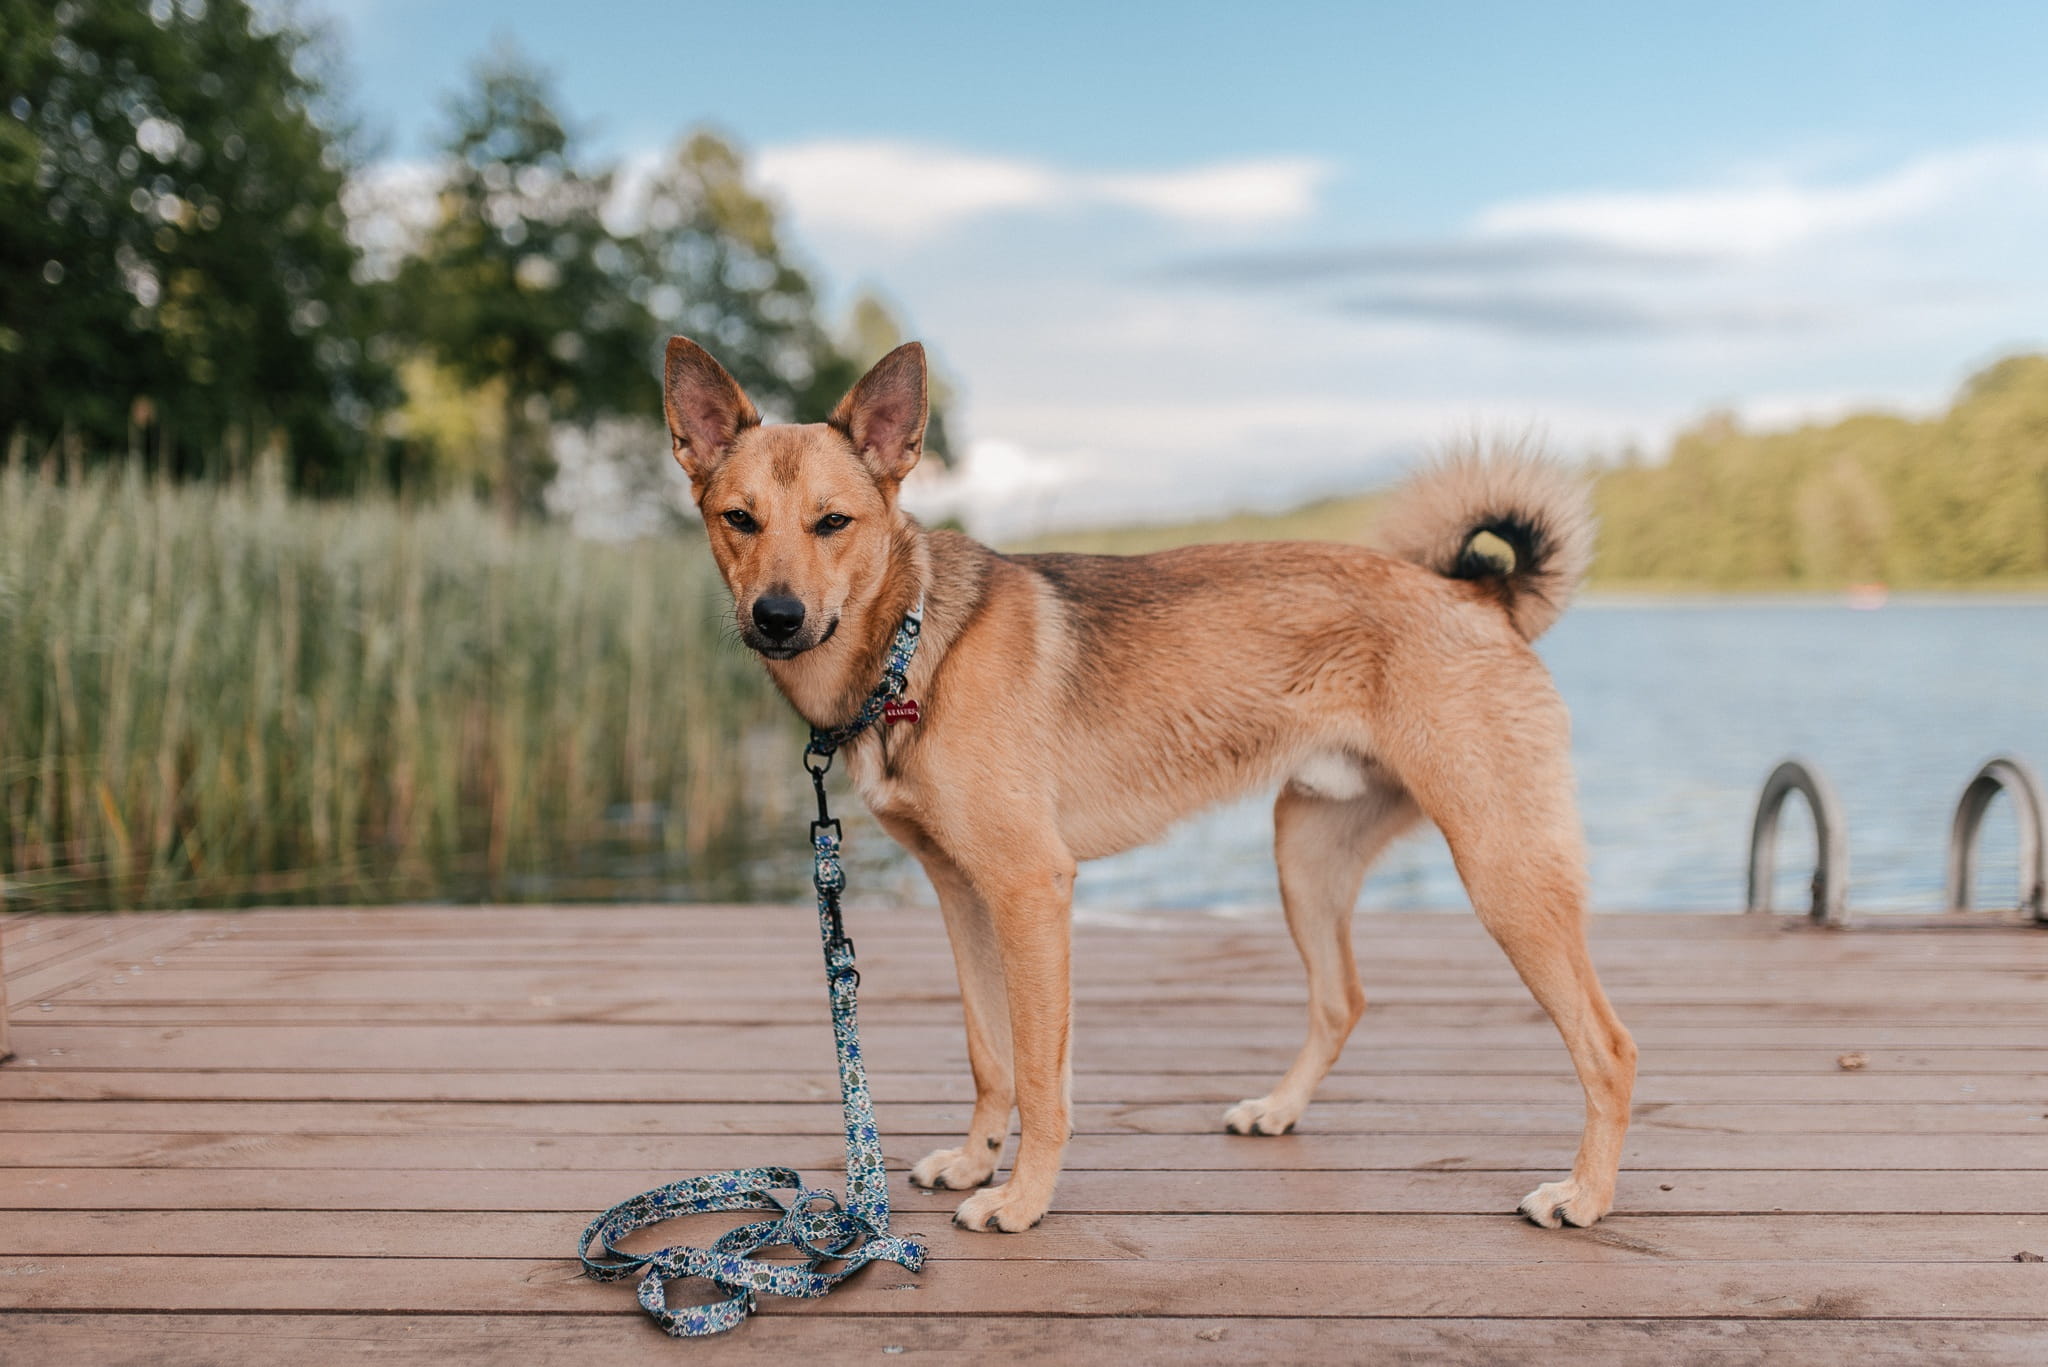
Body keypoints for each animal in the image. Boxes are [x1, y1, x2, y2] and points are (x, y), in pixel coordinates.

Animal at [663, 336, 1638, 1237]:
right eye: (739, 518)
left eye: (833, 522)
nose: (777, 617)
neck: (910, 646)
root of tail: (1481, 596)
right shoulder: (964, 895)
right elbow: (991, 1055)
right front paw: (977, 1162)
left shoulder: (1030, 890)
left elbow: (1041, 1075)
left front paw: (1021, 1199)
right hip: (1306, 859)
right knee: (1342, 999)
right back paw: (1279, 1110)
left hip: (1504, 874)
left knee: (1610, 1047)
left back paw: (1583, 1195)